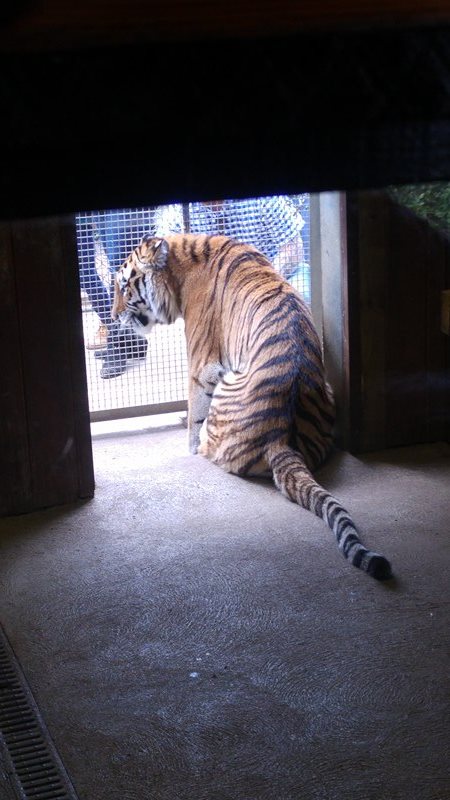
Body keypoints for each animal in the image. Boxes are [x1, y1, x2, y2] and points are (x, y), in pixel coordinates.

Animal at [112, 232, 392, 580]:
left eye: (124, 285)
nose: (113, 316)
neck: (181, 263)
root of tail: (279, 439)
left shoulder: (202, 366)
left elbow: (194, 416)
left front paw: (188, 443)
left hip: (226, 384)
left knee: (210, 444)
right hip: (325, 391)